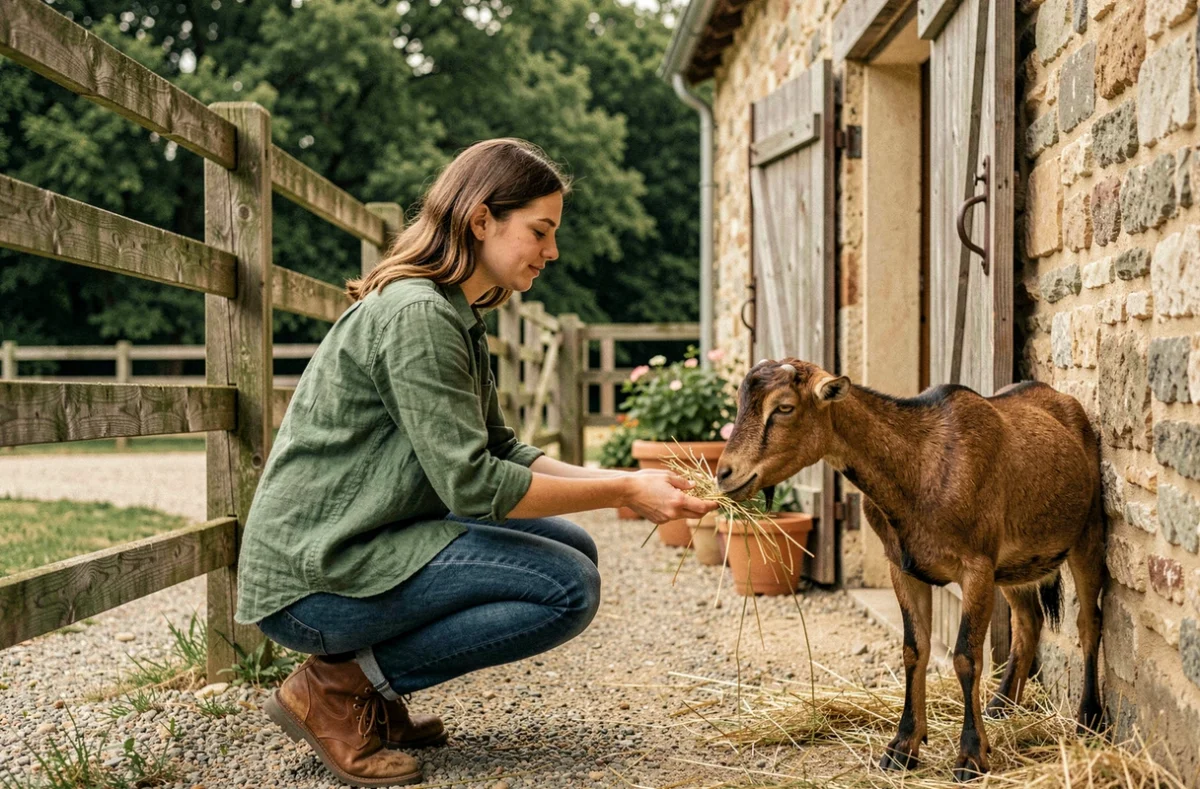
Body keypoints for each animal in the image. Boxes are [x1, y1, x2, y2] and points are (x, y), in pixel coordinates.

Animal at [715, 358, 1106, 782]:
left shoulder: (977, 567)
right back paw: (1001, 706)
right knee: (1028, 619)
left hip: (1087, 533)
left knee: (1089, 622)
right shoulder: (903, 568)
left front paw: (971, 756)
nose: (725, 473)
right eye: (741, 401)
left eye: (784, 407)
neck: (917, 468)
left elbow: (966, 657)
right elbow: (913, 650)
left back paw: (1089, 721)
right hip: (1015, 566)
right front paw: (902, 748)